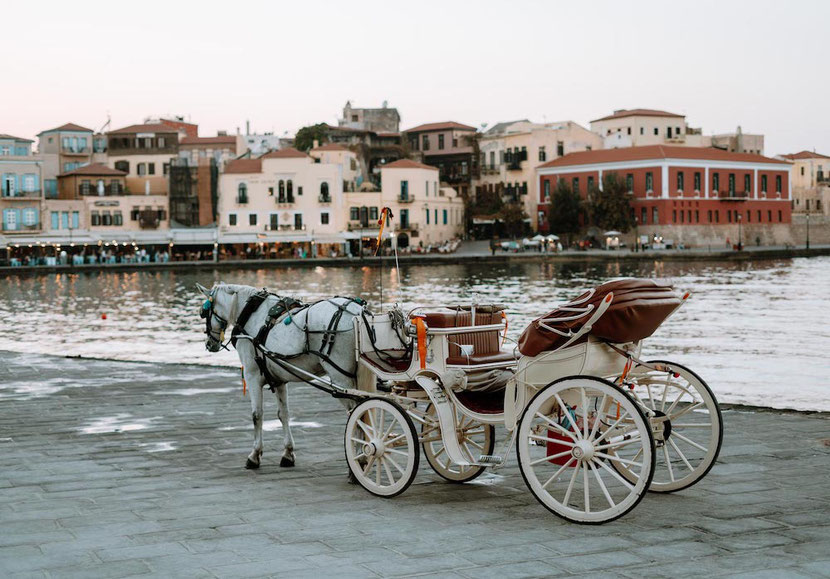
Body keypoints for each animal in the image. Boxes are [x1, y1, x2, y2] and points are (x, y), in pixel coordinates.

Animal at [198, 284, 368, 472]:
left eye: (203, 312)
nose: (209, 344)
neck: (251, 314)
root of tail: (358, 313)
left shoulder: (252, 375)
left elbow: (257, 415)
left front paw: (254, 455)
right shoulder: (279, 379)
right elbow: (283, 414)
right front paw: (288, 453)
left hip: (341, 377)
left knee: (357, 412)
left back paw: (359, 458)